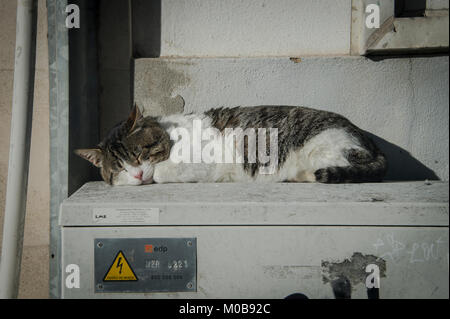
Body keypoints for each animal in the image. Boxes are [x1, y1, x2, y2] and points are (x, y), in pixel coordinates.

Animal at [74, 105, 386, 185]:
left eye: (139, 154)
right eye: (118, 169)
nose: (137, 174)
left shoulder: (202, 163)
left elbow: (162, 172)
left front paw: (154, 174)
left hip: (323, 147)